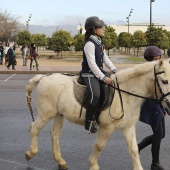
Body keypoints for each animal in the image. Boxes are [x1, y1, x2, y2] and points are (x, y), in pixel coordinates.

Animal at [24, 60, 170, 170]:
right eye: (164, 81)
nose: (169, 104)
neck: (125, 93)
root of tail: (44, 76)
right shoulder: (107, 127)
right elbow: (99, 146)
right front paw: (93, 165)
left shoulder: (128, 127)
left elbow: (133, 149)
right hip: (46, 113)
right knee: (34, 128)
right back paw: (30, 153)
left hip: (58, 114)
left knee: (54, 133)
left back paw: (60, 161)